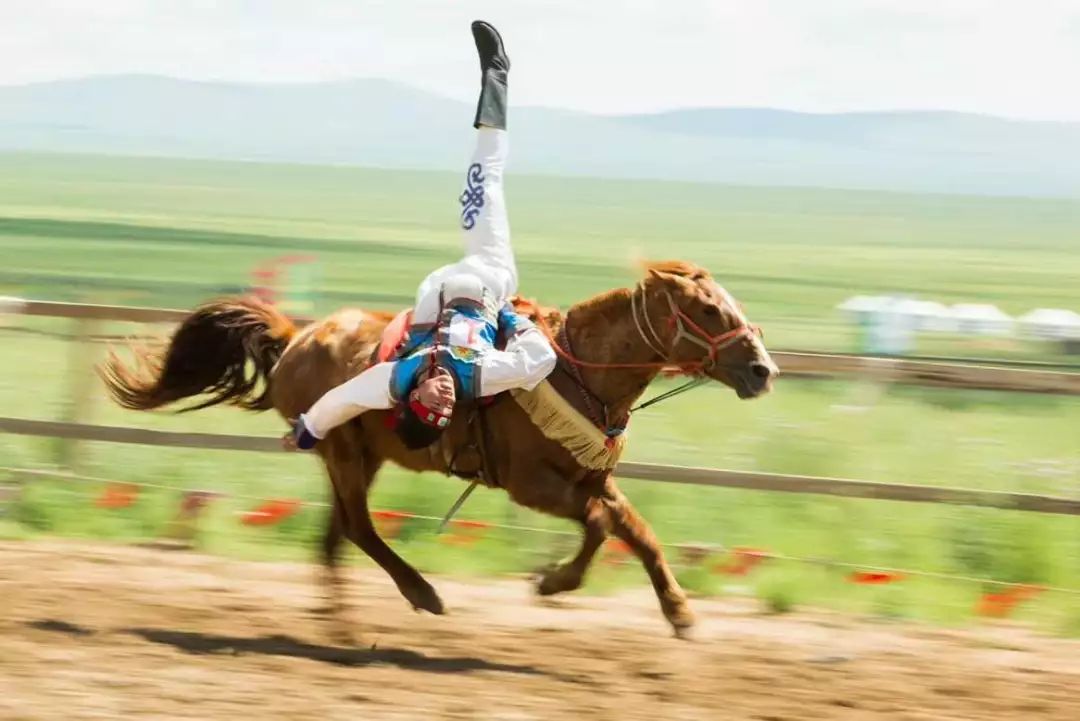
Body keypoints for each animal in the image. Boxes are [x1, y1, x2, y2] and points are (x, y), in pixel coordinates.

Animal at [101, 259, 777, 634]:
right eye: (709, 310)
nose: (763, 370)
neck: (570, 371)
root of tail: (296, 338)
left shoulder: (589, 475)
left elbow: (636, 529)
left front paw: (679, 612)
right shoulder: (534, 485)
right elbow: (602, 524)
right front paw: (553, 582)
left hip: (359, 456)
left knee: (336, 537)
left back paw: (346, 634)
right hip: (344, 452)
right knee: (358, 529)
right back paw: (422, 594)